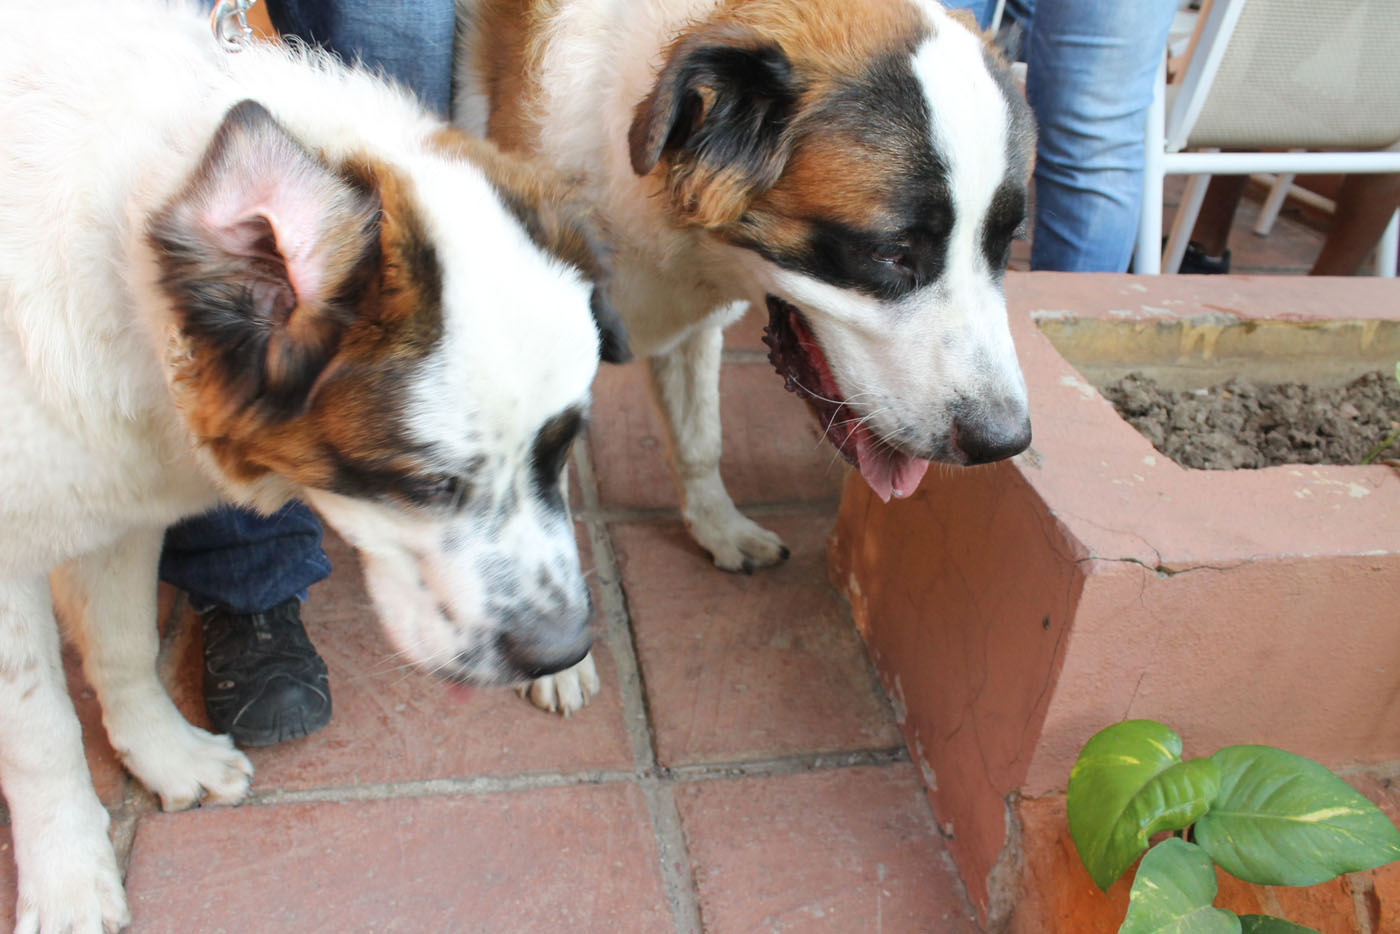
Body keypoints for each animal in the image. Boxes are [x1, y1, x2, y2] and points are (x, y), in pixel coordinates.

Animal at [0, 3, 627, 929]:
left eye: (561, 450)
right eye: (427, 484)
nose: (562, 652)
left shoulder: (114, 504)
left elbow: (121, 643)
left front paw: (162, 754)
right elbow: (39, 730)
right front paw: (71, 877)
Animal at [453, 0, 1036, 711]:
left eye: (1004, 246)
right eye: (890, 253)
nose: (1004, 443)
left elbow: (700, 441)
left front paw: (718, 528)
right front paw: (554, 660)